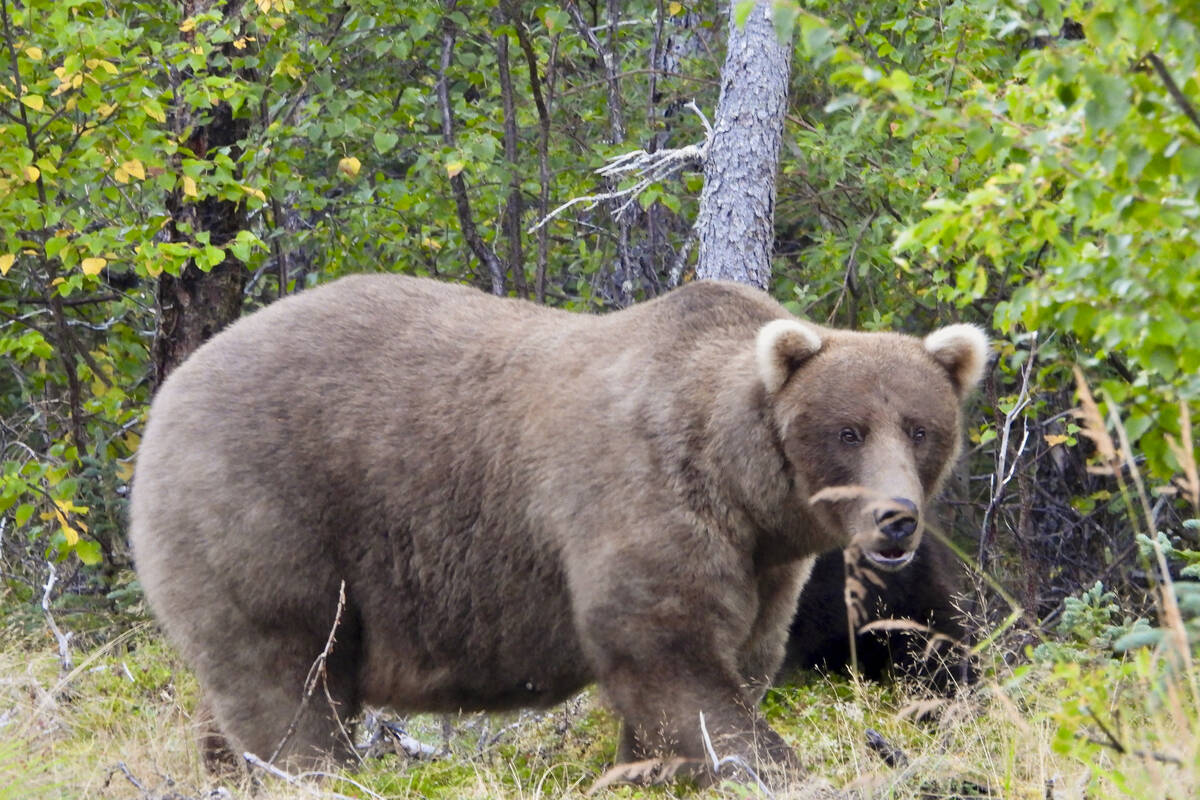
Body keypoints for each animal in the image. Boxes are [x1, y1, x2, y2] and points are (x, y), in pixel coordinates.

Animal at [129, 275, 984, 782]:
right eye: (847, 430)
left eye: (919, 428)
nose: (895, 519)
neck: (743, 487)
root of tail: (172, 386)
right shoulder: (642, 496)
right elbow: (671, 657)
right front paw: (768, 764)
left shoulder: (764, 566)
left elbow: (734, 659)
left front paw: (645, 770)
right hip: (269, 513)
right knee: (289, 683)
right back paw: (311, 772)